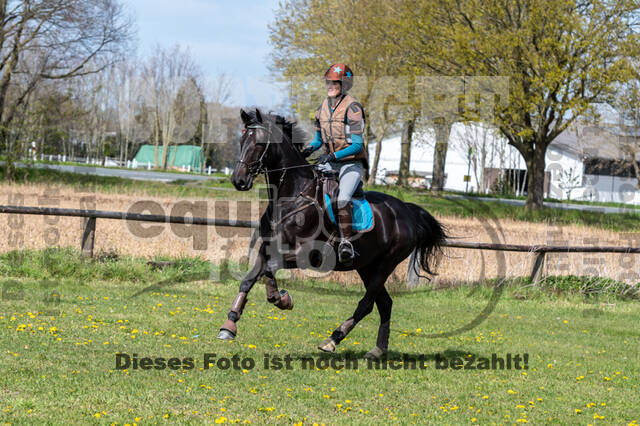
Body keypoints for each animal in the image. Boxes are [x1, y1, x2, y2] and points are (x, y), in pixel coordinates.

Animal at [216, 108, 444, 358]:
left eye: (259, 143)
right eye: (241, 141)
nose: (238, 180)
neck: (291, 197)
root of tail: (408, 211)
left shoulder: (303, 255)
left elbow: (269, 271)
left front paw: (283, 299)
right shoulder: (266, 249)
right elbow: (248, 280)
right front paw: (229, 325)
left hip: (386, 264)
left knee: (366, 304)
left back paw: (333, 339)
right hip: (367, 266)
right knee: (385, 304)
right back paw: (378, 350)